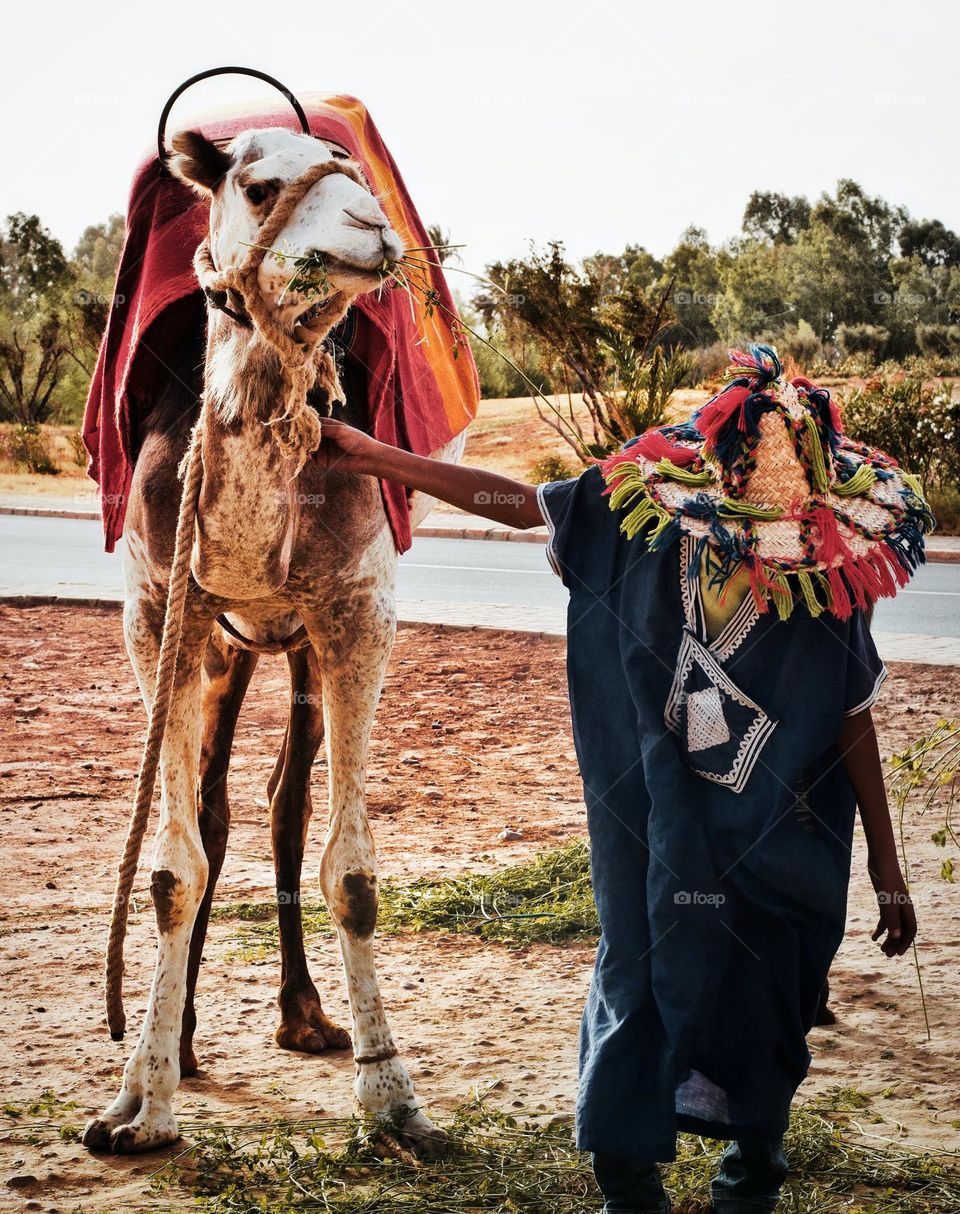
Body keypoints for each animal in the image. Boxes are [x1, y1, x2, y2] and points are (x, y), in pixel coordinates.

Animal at [82, 125, 462, 1154]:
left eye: (360, 176)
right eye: (257, 186)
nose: (374, 230)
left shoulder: (356, 612)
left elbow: (353, 871)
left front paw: (393, 1096)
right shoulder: (156, 611)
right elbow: (172, 867)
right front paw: (138, 1102)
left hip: (289, 645)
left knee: (283, 799)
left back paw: (306, 1015)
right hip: (223, 647)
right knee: (215, 808)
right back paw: (186, 1040)